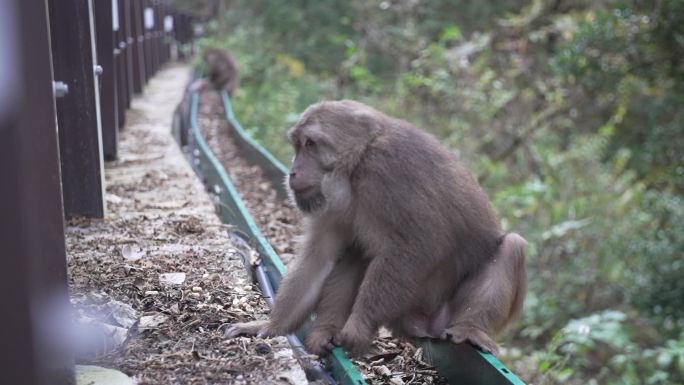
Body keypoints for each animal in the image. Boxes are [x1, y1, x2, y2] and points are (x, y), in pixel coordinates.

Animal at [226, 100, 528, 356]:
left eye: (310, 144)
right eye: (298, 145)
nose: (293, 172)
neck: (356, 167)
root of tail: (424, 326)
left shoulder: (385, 173)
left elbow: (415, 248)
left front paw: (358, 327)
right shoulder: (329, 200)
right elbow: (320, 257)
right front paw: (270, 326)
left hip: (442, 315)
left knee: (511, 245)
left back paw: (470, 329)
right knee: (357, 252)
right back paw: (326, 331)